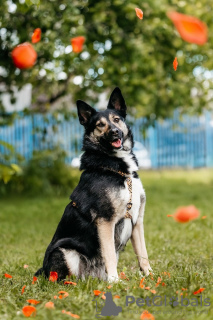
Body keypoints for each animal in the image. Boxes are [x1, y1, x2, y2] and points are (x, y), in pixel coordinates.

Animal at [35, 87, 151, 282]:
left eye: (116, 119)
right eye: (100, 125)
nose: (115, 132)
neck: (119, 170)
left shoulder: (137, 221)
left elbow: (143, 254)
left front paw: (152, 277)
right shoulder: (105, 221)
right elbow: (109, 254)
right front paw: (115, 282)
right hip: (64, 251)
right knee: (61, 278)